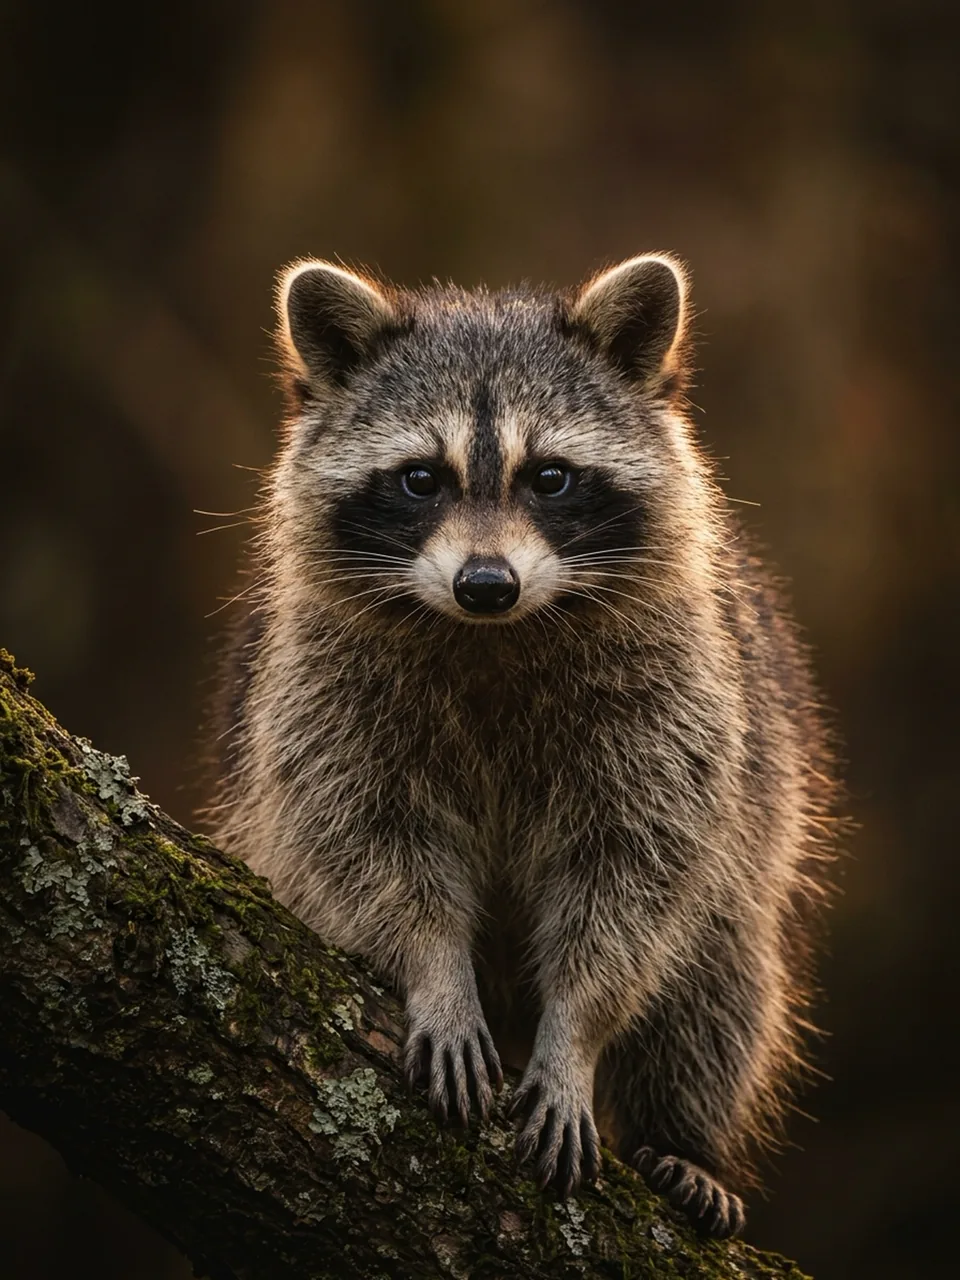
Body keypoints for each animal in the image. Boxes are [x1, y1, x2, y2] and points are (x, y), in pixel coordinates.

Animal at [210, 254, 836, 1239]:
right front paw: (433, 968)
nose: (485, 584)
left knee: (721, 985)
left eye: (550, 477)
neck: (494, 636)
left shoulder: (676, 706)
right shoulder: (320, 688)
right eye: (420, 479)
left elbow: (629, 877)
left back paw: (685, 1141)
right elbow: (367, 836)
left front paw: (575, 1034)